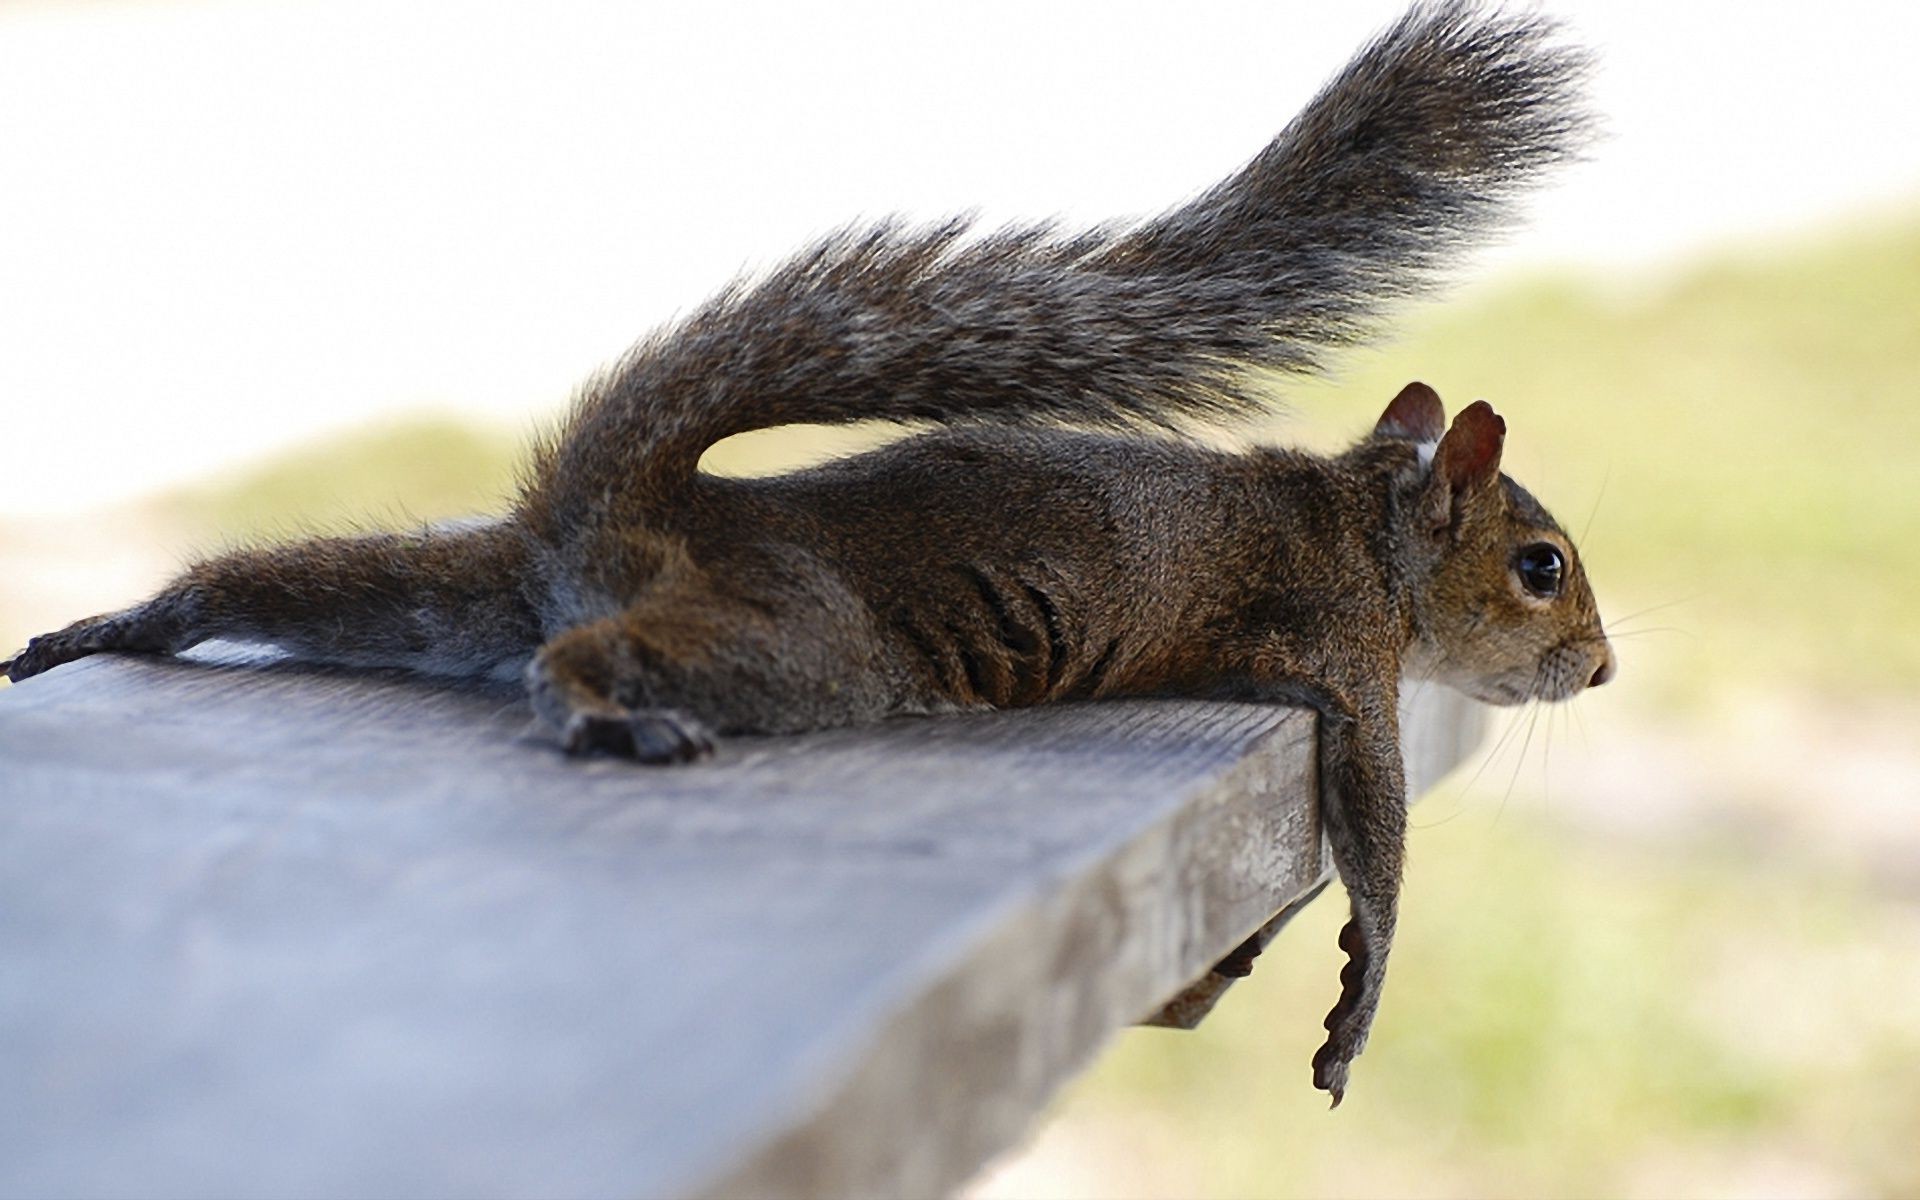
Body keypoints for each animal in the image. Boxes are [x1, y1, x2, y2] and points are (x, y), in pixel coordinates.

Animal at [3, 2, 1605, 1105]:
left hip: (456, 585)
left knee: (299, 588)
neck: (1367, 526)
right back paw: (599, 708)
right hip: (802, 640)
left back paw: (118, 625)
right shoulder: (1344, 656)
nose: (1597, 669)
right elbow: (1379, 842)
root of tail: (633, 507)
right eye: (1541, 565)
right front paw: (1358, 1003)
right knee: (581, 652)